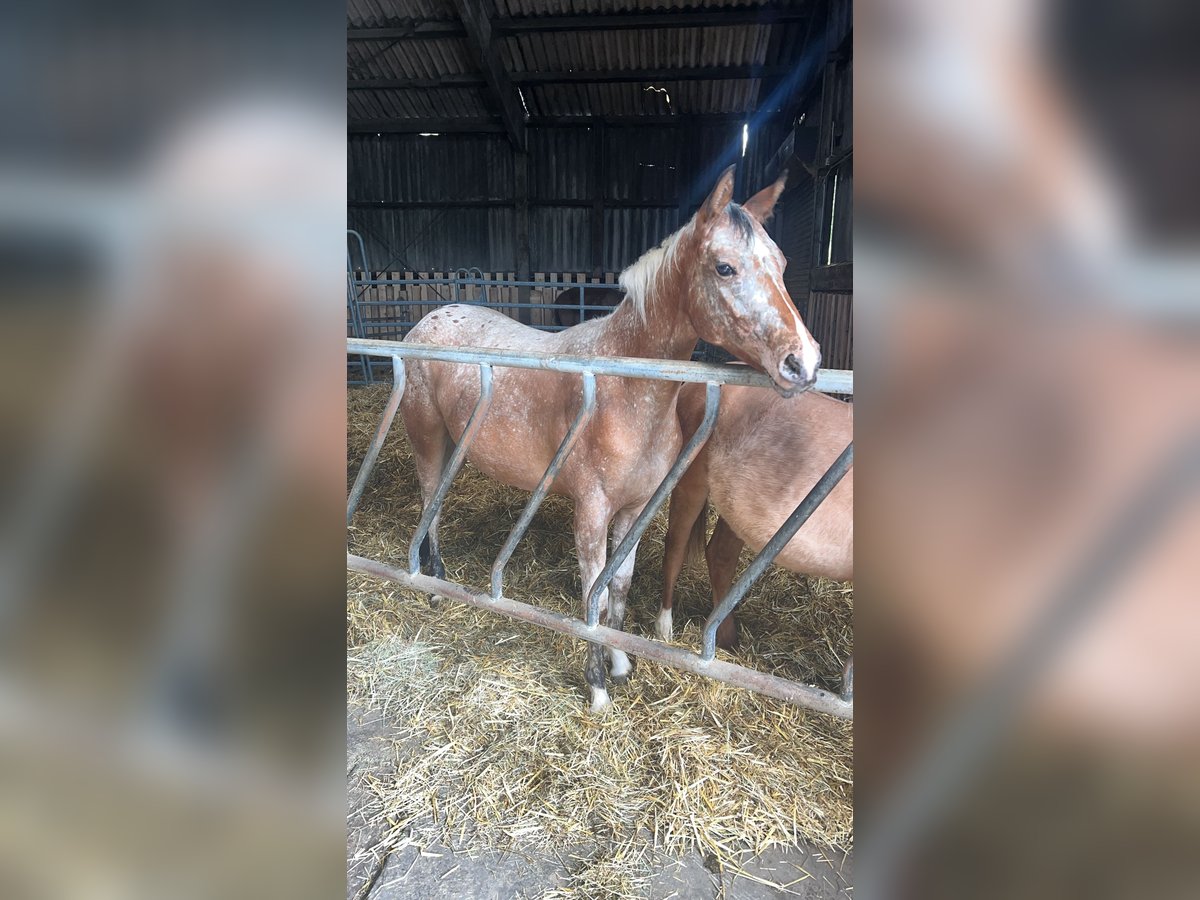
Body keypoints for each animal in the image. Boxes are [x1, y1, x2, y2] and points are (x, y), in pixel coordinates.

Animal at [398, 168, 820, 710]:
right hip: (426, 438)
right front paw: (597, 686)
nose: (803, 362)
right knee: (429, 503)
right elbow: (592, 595)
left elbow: (618, 585)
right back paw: (433, 586)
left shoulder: (634, 509)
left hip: (456, 443)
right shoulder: (591, 510)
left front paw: (621, 664)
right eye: (724, 268)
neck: (626, 389)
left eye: (782, 263)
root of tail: (426, 321)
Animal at [657, 384, 854, 652]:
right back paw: (664, 628)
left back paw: (726, 640)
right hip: (689, 485)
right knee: (675, 548)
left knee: (720, 555)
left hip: (735, 513)